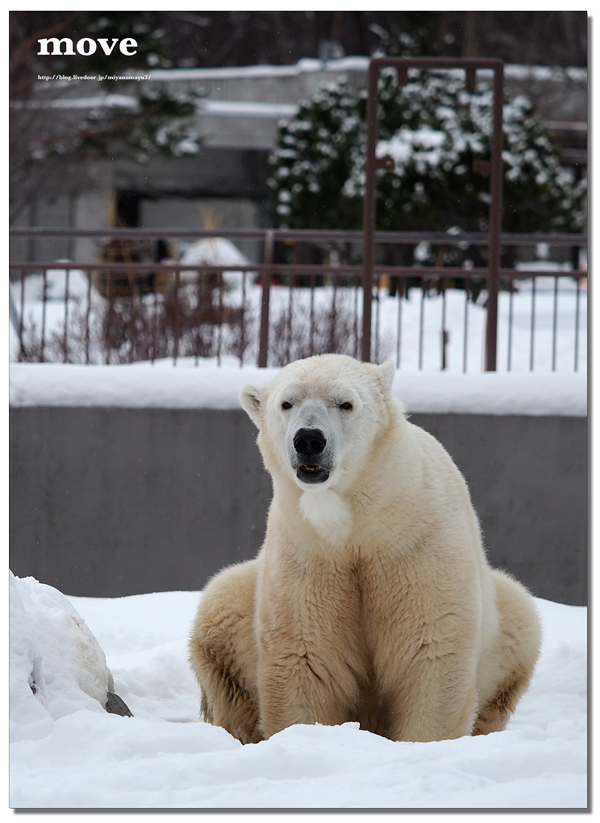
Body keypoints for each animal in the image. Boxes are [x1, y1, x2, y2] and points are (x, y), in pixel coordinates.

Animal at [189, 354, 544, 748]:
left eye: (346, 403)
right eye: (287, 403)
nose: (309, 439)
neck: (359, 524)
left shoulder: (415, 544)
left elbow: (430, 649)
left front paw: (424, 745)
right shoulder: (307, 553)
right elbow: (306, 655)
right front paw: (306, 737)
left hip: (504, 620)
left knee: (521, 614)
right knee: (220, 603)